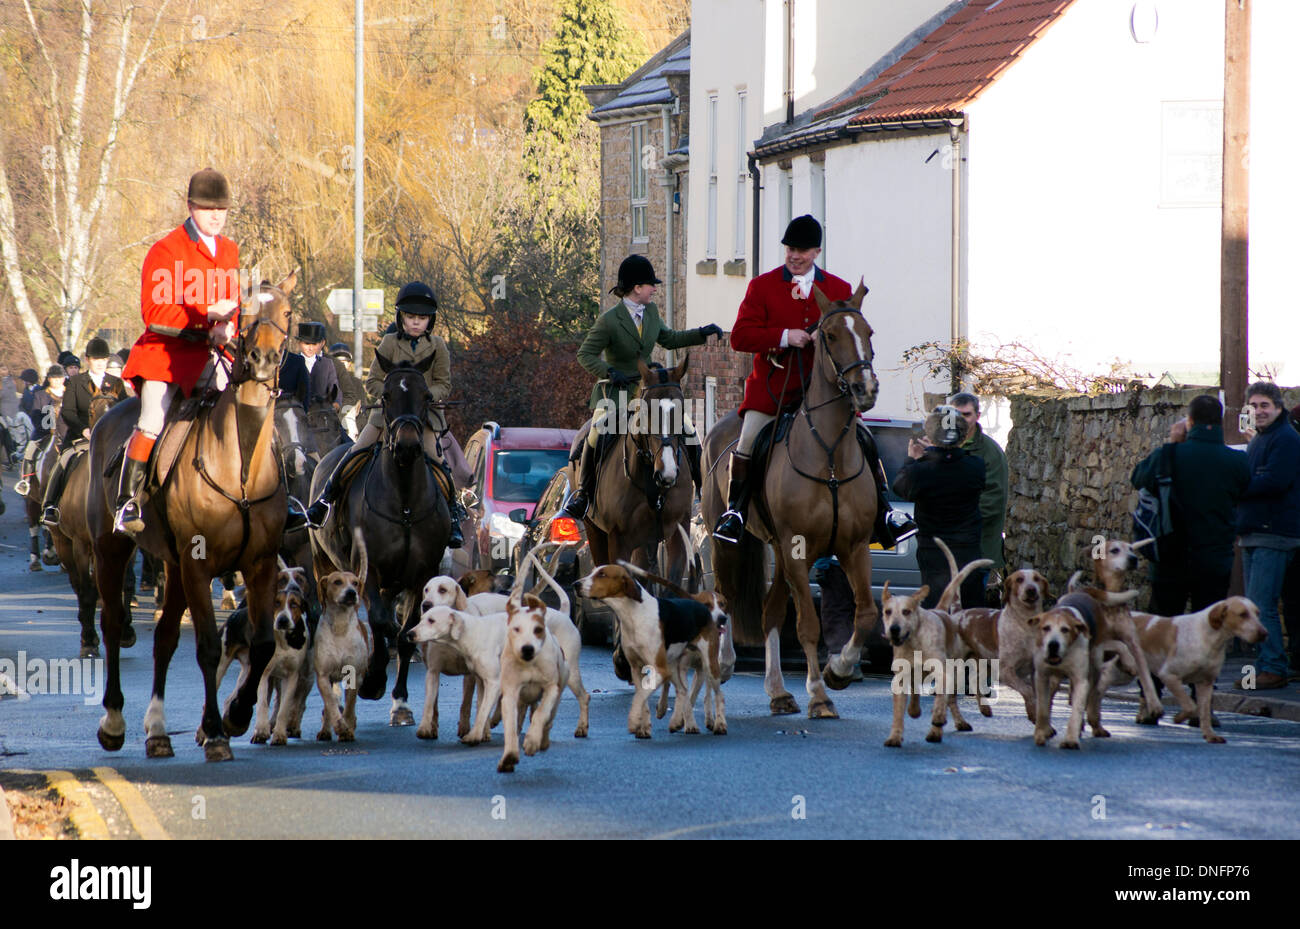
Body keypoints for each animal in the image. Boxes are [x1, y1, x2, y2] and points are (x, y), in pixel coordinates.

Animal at [87, 270, 296, 763]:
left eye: (287, 311)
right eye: (243, 309)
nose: (262, 359)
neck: (241, 465)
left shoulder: (259, 565)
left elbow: (262, 643)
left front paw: (237, 714)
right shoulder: (200, 566)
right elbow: (206, 647)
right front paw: (216, 731)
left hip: (174, 564)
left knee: (164, 638)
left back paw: (158, 731)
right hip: (112, 550)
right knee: (111, 624)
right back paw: (114, 721)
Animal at [585, 356, 696, 582]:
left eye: (682, 411)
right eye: (646, 411)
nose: (666, 472)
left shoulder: (679, 529)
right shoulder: (618, 540)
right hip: (595, 532)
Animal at [702, 283, 883, 717]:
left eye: (868, 332)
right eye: (828, 335)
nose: (865, 390)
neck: (830, 453)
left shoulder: (854, 548)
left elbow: (866, 614)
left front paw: (839, 670)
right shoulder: (798, 549)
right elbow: (808, 626)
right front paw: (818, 692)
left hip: (779, 552)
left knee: (770, 611)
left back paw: (779, 691)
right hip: (728, 543)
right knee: (726, 596)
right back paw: (727, 663)